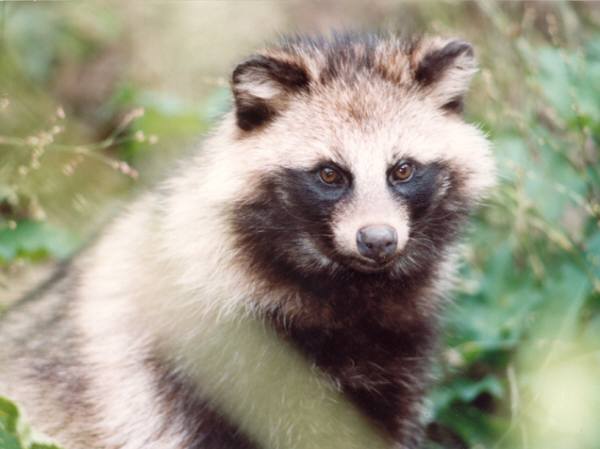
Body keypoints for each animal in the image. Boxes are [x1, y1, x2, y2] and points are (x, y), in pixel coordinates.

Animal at [0, 34, 494, 448]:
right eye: (329, 174)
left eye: (403, 170)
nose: (377, 241)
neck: (342, 290)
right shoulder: (196, 362)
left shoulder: (395, 358)